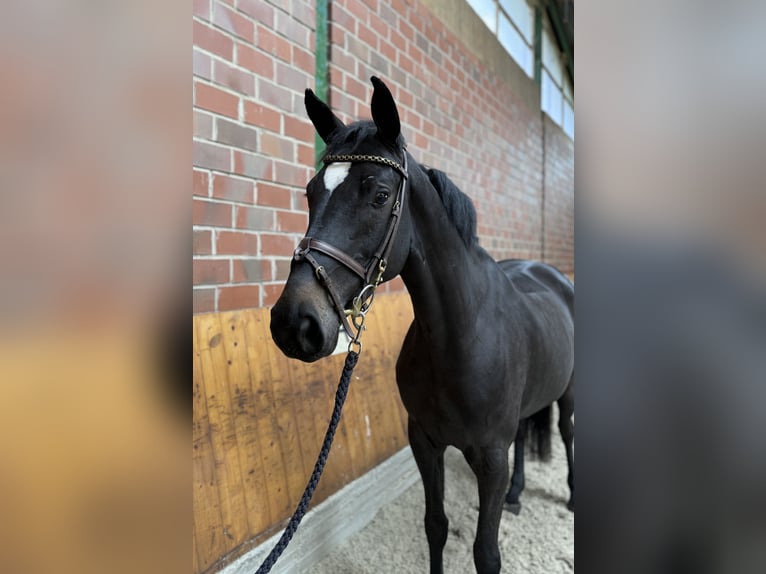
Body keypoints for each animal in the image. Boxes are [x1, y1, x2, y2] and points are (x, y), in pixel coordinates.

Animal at [270, 77, 574, 574]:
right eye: (311, 192)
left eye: (379, 195)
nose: (294, 323)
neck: (458, 338)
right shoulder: (425, 443)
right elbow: (436, 526)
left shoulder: (490, 459)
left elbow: (485, 553)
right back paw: (516, 496)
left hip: (568, 394)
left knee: (566, 431)